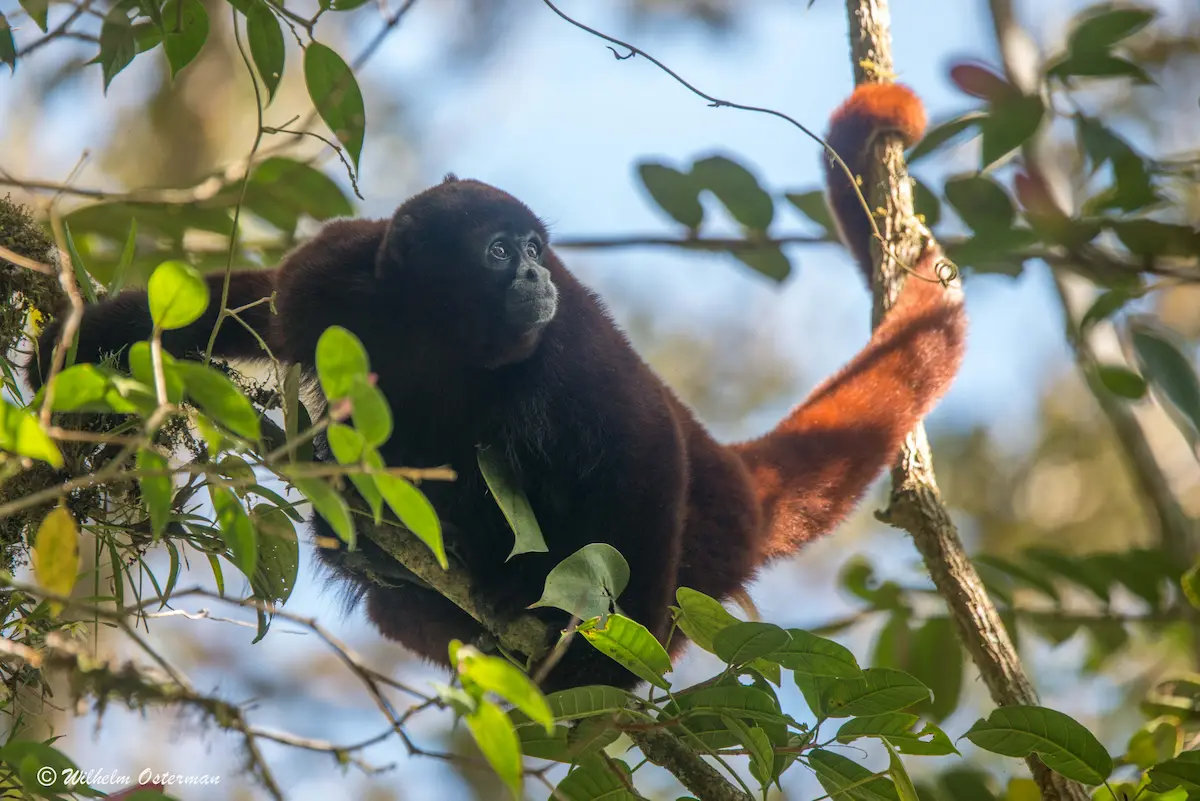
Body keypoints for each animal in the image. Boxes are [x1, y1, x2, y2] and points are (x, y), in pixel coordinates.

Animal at [28, 83, 963, 692]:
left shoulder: (566, 345)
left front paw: (596, 665)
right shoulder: (333, 276)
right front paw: (87, 350)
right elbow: (244, 307)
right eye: (498, 249)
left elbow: (639, 445)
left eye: (538, 248)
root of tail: (735, 486)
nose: (537, 274)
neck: (440, 335)